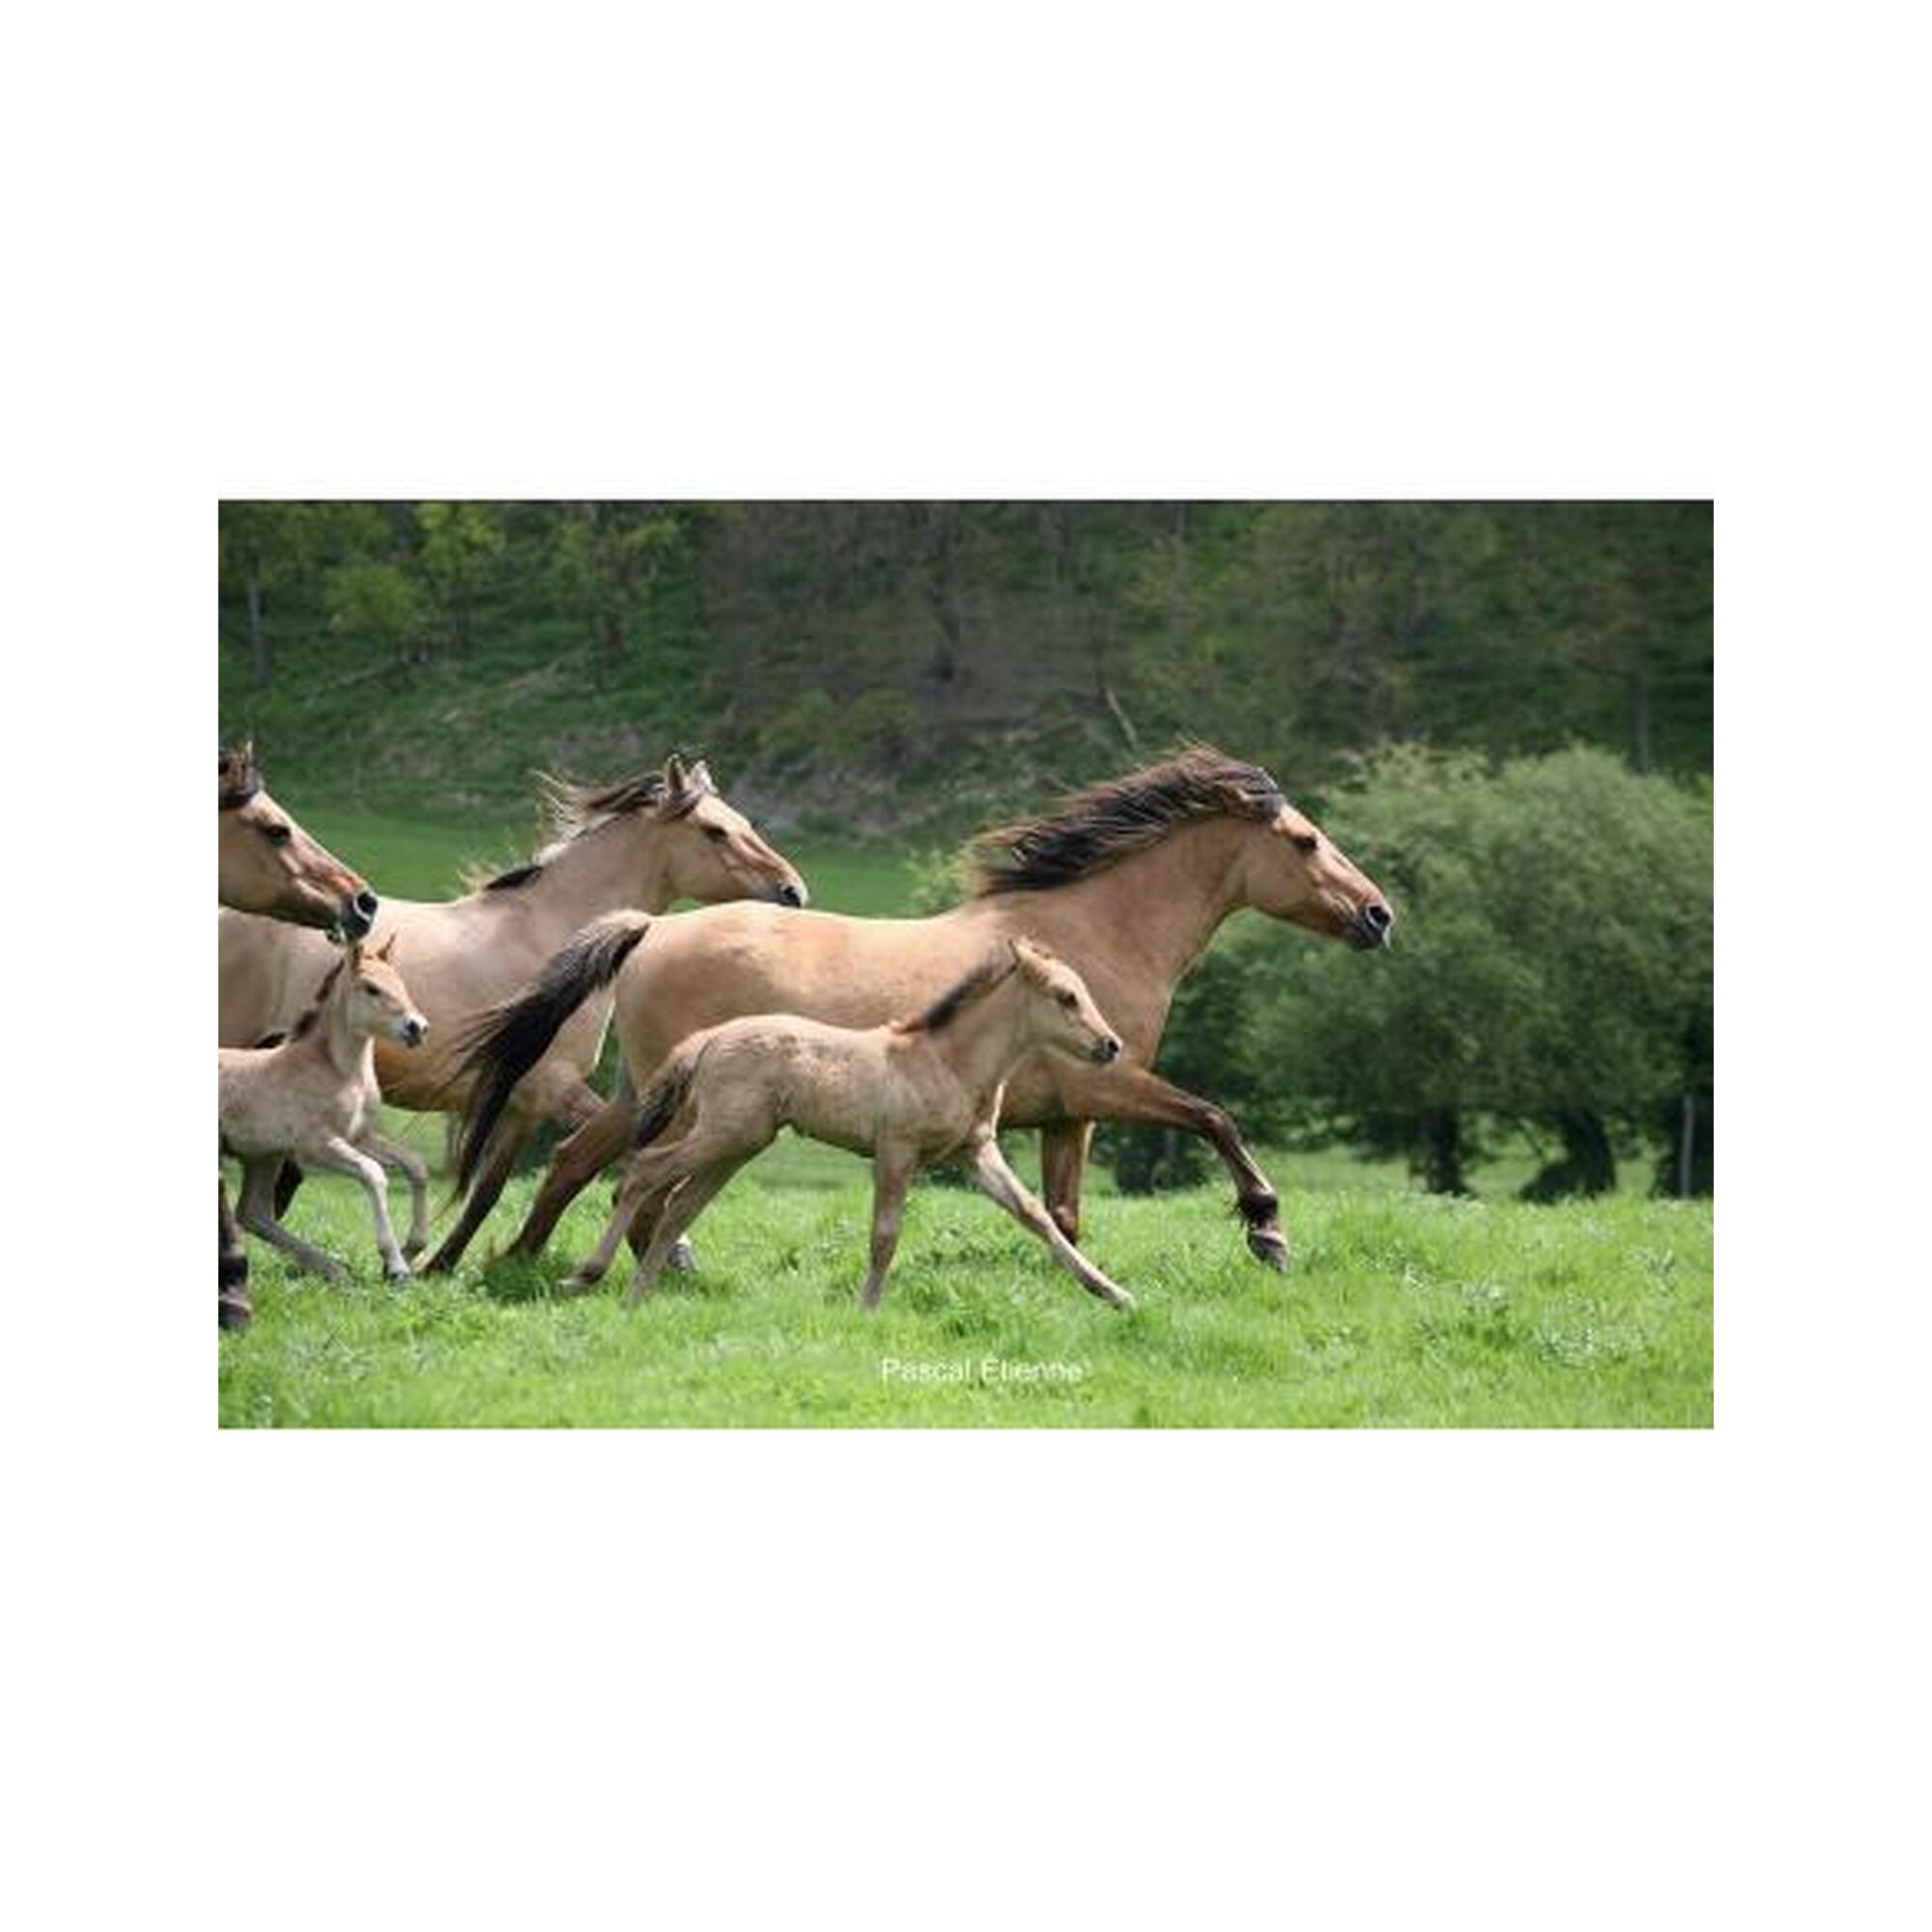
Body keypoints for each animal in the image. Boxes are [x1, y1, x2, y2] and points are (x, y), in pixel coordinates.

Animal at [221, 935, 433, 1283]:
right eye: (371, 988)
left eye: (401, 983)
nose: (418, 1028)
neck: (338, 1071)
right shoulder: (316, 1146)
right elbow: (373, 1173)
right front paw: (396, 1265)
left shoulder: (358, 1136)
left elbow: (415, 1164)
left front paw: (412, 1248)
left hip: (264, 1156)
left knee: (254, 1214)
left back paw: (335, 1271)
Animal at [452, 746, 1391, 1275]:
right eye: (1305, 842)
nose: (1379, 915)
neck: (1088, 933)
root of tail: (651, 930)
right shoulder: (1110, 1085)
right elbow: (1214, 1117)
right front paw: (1268, 1234)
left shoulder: (1069, 1116)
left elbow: (1064, 1212)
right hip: (683, 1101)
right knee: (632, 1180)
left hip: (645, 1091)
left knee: (576, 1162)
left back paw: (505, 1262)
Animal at [568, 935, 1144, 1314]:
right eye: (1065, 996)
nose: (1110, 1045)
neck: (947, 1061)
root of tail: (708, 1038)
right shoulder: (896, 1149)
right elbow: (885, 1234)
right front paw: (867, 1310)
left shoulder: (975, 1152)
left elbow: (1035, 1215)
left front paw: (1113, 1292)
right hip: (724, 1134)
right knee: (645, 1171)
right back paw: (587, 1276)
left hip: (738, 1145)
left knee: (678, 1207)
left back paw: (635, 1298)